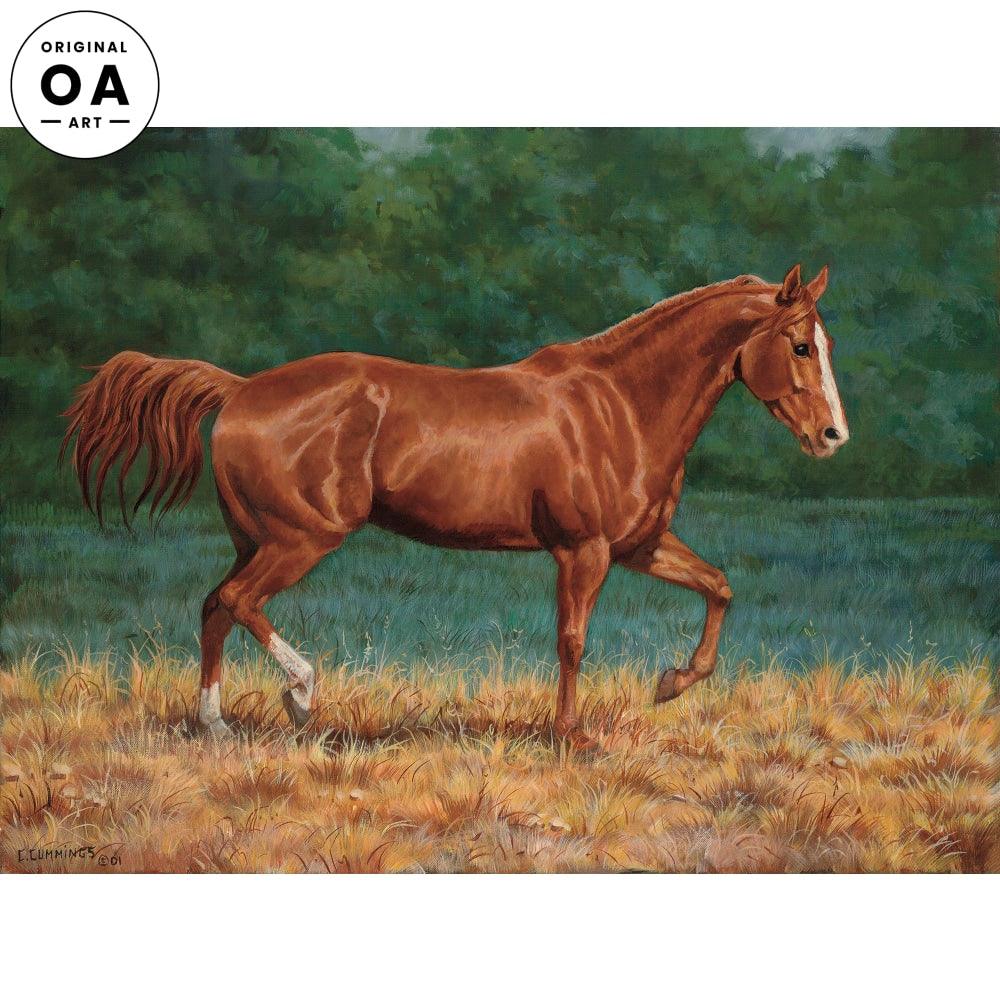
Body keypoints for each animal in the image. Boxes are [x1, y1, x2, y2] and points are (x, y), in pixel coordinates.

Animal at [62, 263, 847, 749]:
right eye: (800, 346)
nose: (832, 436)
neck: (619, 405)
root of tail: (240, 389)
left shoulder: (639, 546)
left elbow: (719, 586)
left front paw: (672, 684)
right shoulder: (584, 551)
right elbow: (572, 641)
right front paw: (571, 735)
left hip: (257, 538)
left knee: (213, 609)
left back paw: (216, 726)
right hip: (301, 539)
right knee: (237, 601)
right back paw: (301, 693)